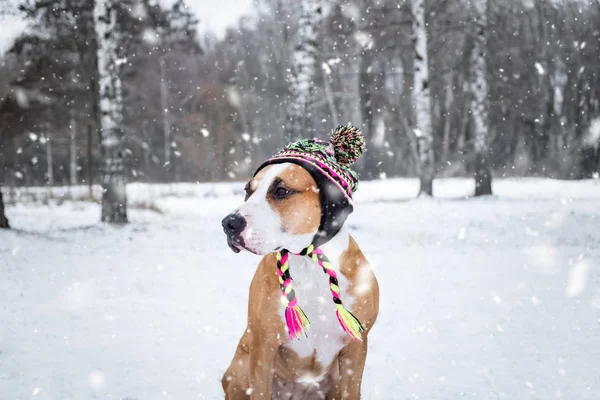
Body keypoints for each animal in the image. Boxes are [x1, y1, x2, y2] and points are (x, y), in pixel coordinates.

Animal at [220, 142, 380, 398]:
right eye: (248, 190)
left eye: (281, 191)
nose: (229, 223)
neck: (307, 261)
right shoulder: (263, 347)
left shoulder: (356, 349)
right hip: (239, 369)